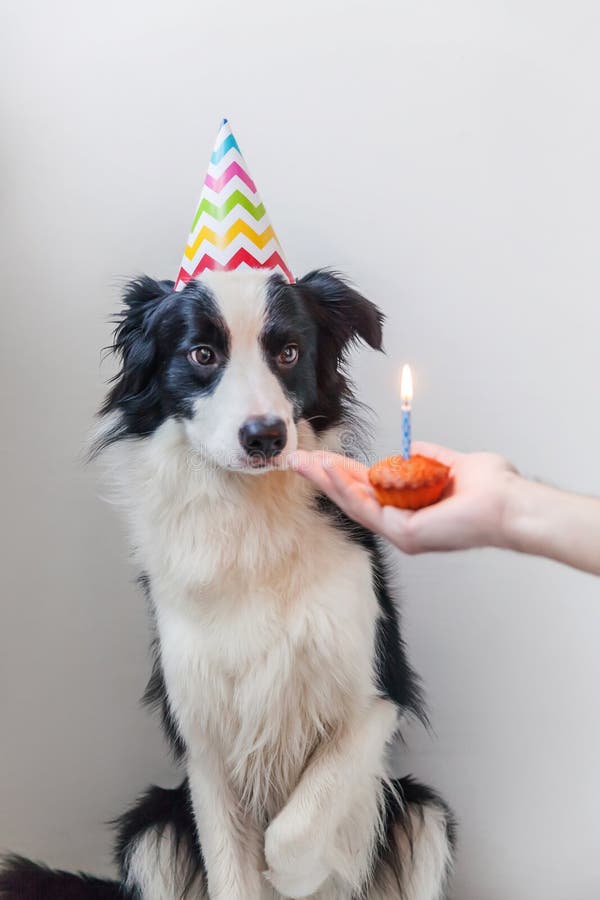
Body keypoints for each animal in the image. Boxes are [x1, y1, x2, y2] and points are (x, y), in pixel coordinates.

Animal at [0, 268, 454, 900]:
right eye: (202, 354)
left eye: (288, 353)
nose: (265, 437)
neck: (250, 517)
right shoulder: (202, 734)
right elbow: (234, 868)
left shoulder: (378, 688)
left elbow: (303, 815)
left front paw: (294, 872)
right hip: (152, 827)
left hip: (422, 815)